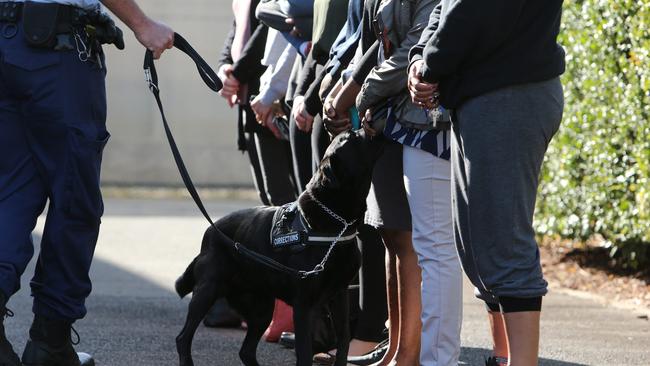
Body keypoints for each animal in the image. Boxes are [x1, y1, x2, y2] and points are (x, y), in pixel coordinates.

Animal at [175, 130, 382, 364]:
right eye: (352, 138)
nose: (370, 126)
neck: (337, 225)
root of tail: (211, 230)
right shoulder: (304, 305)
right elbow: (304, 351)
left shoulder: (339, 295)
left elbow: (344, 340)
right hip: (207, 291)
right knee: (183, 338)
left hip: (262, 308)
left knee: (246, 350)